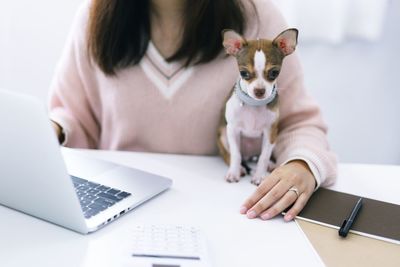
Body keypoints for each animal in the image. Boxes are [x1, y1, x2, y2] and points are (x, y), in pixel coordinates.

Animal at [217, 28, 298, 185]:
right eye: (244, 73)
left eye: (274, 73)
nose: (259, 91)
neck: (254, 105)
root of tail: (249, 155)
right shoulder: (232, 130)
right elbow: (235, 154)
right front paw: (234, 173)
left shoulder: (270, 132)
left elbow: (264, 156)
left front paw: (260, 176)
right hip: (223, 136)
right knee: (231, 156)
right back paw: (240, 169)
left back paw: (270, 165)